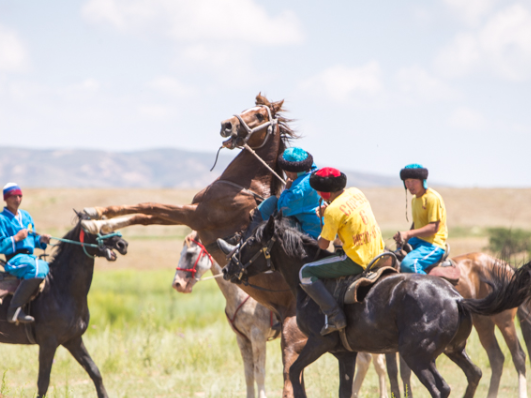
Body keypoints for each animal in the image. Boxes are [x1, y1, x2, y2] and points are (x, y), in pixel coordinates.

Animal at [0, 215, 128, 398]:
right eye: (95, 228)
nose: (122, 244)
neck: (60, 288)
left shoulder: (73, 340)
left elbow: (94, 371)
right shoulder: (48, 343)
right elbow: (43, 383)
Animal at [172, 235, 280, 398]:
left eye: (190, 254)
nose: (177, 284)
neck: (241, 293)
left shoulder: (258, 337)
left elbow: (259, 373)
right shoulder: (242, 339)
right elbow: (249, 375)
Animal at [220, 215, 531, 398]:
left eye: (250, 241)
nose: (227, 268)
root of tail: (455, 298)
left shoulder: (317, 344)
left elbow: (295, 373)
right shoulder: (344, 354)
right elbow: (344, 389)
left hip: (419, 356)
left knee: (442, 387)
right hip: (454, 350)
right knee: (475, 374)